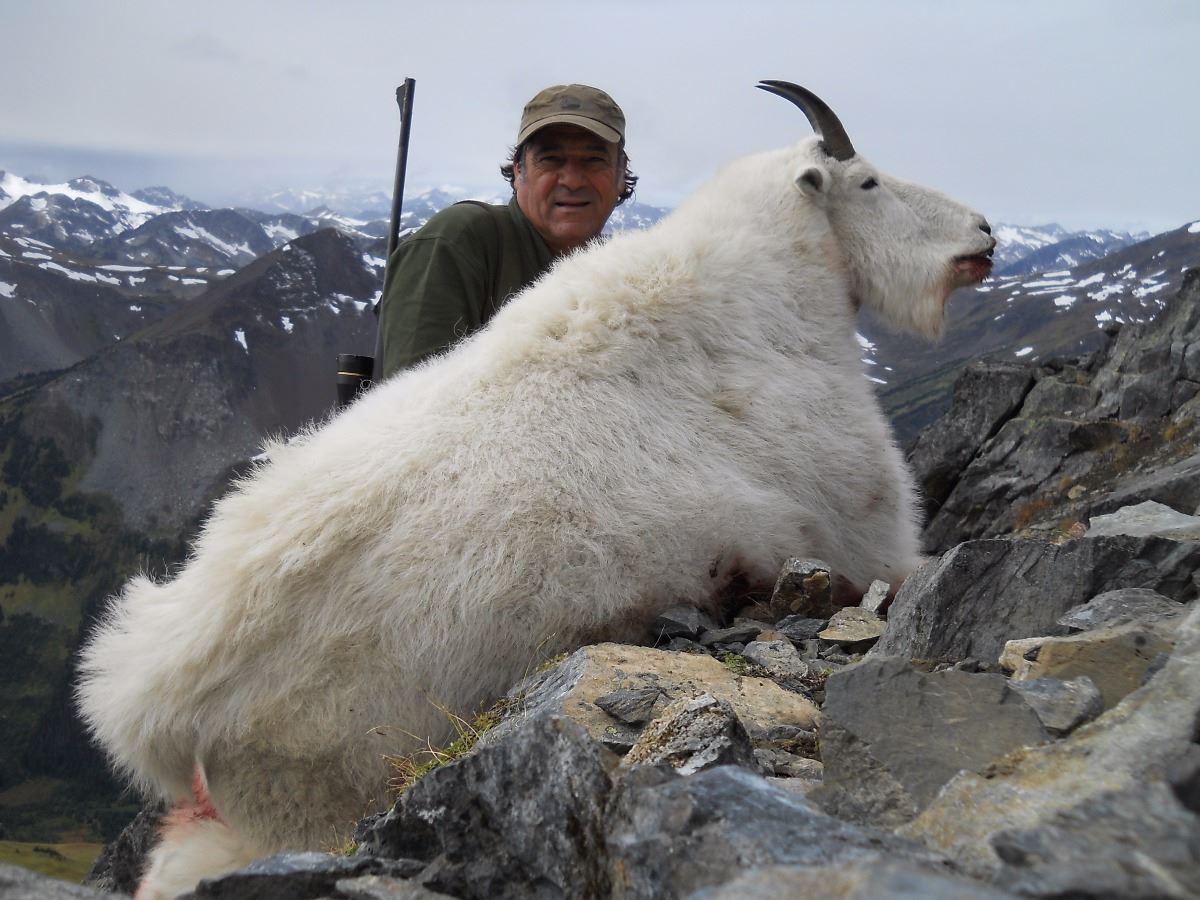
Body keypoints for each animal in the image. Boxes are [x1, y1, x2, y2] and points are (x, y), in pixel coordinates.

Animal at [76, 81, 995, 898]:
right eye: (868, 181)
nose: (983, 232)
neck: (766, 300)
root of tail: (151, 695)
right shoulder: (866, 534)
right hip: (307, 803)